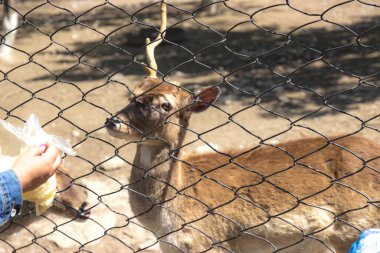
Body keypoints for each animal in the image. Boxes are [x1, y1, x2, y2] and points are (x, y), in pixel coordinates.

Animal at [104, 0, 380, 252]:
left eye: (165, 105)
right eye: (133, 93)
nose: (113, 121)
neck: (167, 224)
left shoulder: (212, 242)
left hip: (352, 229)